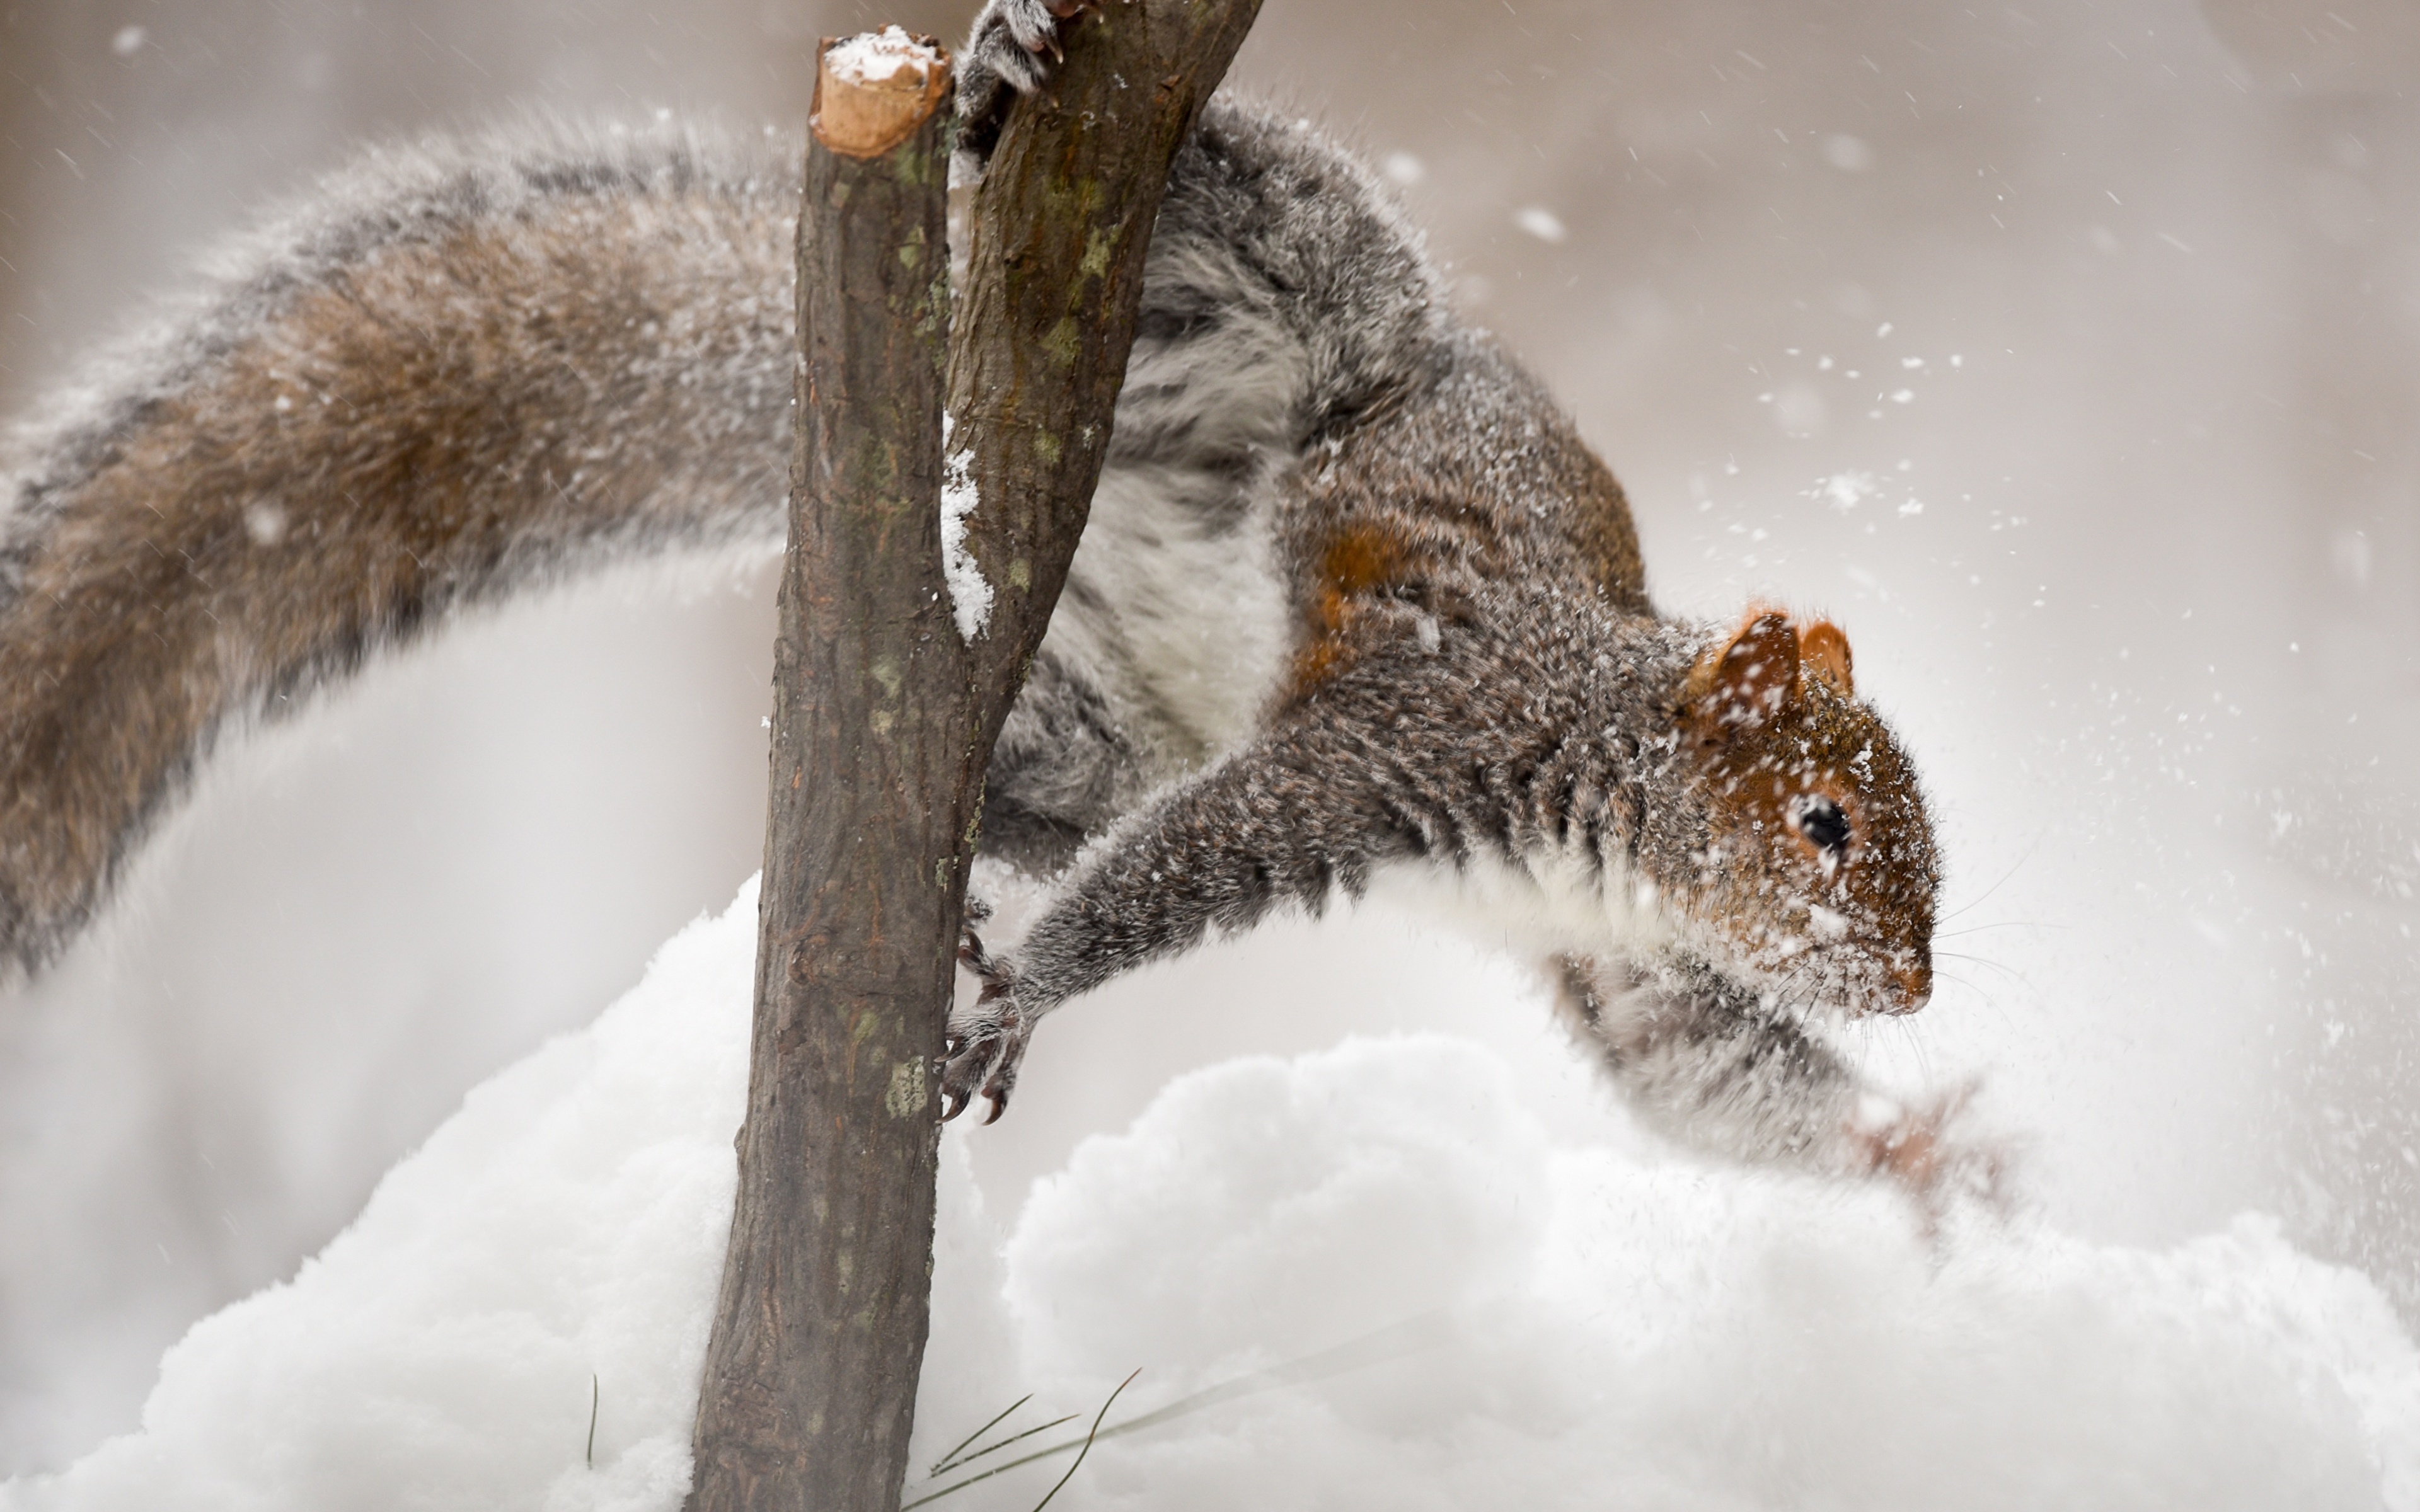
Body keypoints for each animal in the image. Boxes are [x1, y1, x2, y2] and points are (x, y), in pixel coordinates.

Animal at [0, 0, 2003, 1205]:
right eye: (1826, 825)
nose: (1910, 984)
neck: (1598, 762)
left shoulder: (1618, 955)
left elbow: (1704, 1071)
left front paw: (1921, 1150)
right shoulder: (1403, 738)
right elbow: (1178, 876)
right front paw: (1031, 999)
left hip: (1097, 703)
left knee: (1074, 787)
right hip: (1307, 295)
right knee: (1248, 197)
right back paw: (987, 77)